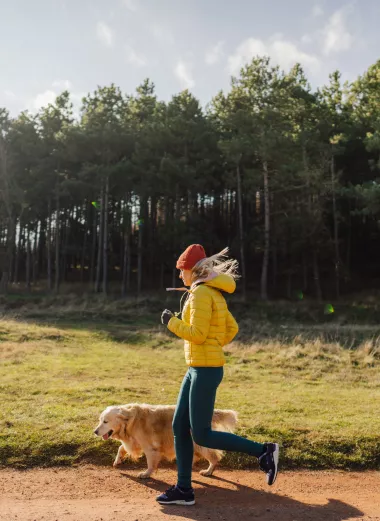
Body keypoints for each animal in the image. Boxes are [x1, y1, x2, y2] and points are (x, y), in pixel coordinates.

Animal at [94, 402, 238, 480]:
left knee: (214, 457)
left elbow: (150, 463)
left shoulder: (149, 447)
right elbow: (121, 448)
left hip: (200, 443)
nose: (95, 431)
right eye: (100, 420)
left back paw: (208, 471)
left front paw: (146, 474)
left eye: (105, 421)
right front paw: (117, 461)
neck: (129, 421)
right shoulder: (134, 441)